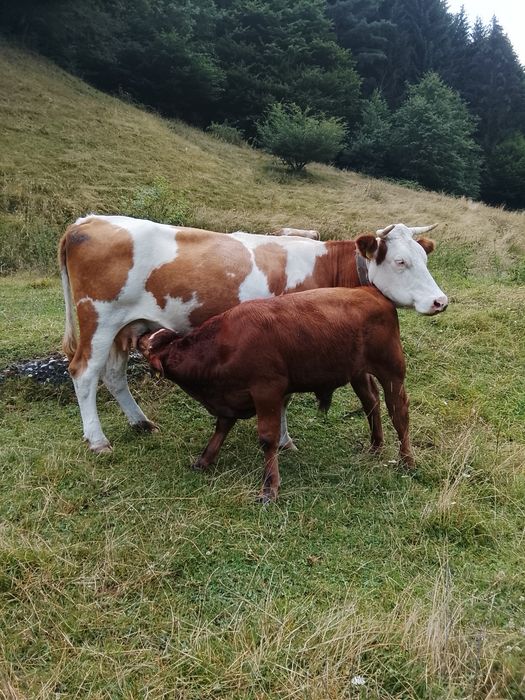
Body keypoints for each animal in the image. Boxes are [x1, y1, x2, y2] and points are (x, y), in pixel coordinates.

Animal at [58, 215, 447, 453]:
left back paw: (140, 422)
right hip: (99, 319)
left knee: (113, 375)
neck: (327, 268)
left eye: (425, 259)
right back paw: (97, 440)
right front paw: (284, 441)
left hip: (125, 325)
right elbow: (285, 398)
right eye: (400, 261)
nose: (440, 301)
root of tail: (88, 220)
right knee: (84, 373)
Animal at [137, 286, 413, 502]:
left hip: (392, 372)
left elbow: (267, 439)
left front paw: (269, 487)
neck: (220, 348)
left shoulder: (267, 390)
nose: (139, 334)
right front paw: (204, 460)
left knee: (399, 413)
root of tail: (370, 292)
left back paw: (407, 461)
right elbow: (221, 429)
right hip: (357, 372)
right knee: (371, 402)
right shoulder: (230, 399)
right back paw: (376, 446)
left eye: (144, 345)